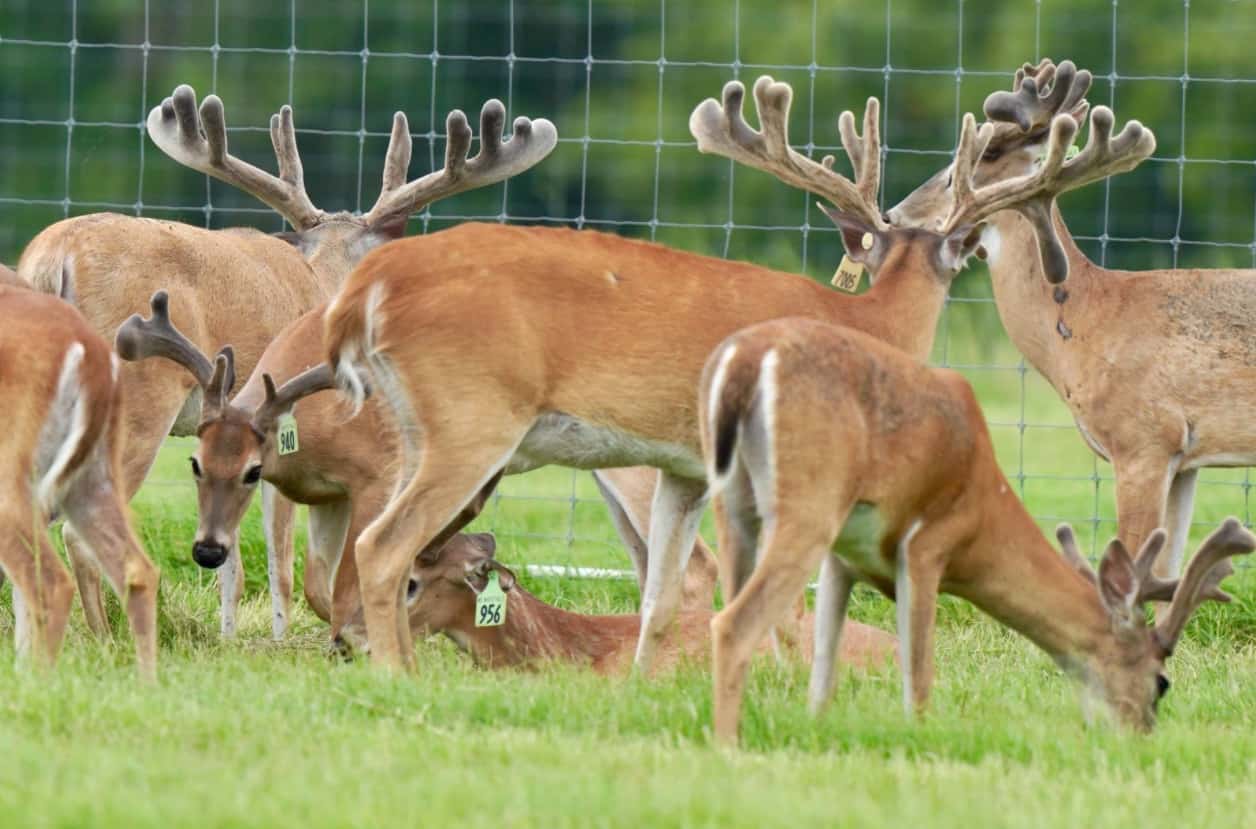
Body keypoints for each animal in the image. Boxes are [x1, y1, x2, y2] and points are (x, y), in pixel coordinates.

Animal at [16, 83, 556, 640]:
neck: (326, 280)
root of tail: (54, 258)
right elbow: (280, 559)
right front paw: (277, 638)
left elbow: (231, 555)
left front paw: (228, 635)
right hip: (141, 398)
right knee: (78, 529)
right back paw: (104, 639)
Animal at [112, 291, 737, 650]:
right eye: (195, 462)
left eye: (252, 471)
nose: (207, 550)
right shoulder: (326, 496)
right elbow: (318, 585)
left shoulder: (377, 475)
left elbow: (350, 578)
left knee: (700, 564)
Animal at [698, 315, 1254, 743]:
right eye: (1161, 682)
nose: (1141, 734)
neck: (984, 513)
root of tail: (745, 359)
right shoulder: (928, 543)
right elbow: (920, 677)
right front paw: (920, 739)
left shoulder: (844, 557)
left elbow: (822, 681)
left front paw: (817, 727)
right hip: (809, 504)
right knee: (732, 624)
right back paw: (728, 746)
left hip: (733, 503)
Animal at [888, 58, 1250, 586]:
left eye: (987, 152)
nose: (893, 215)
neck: (1091, 319)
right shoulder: (1185, 462)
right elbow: (1168, 572)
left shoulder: (1144, 441)